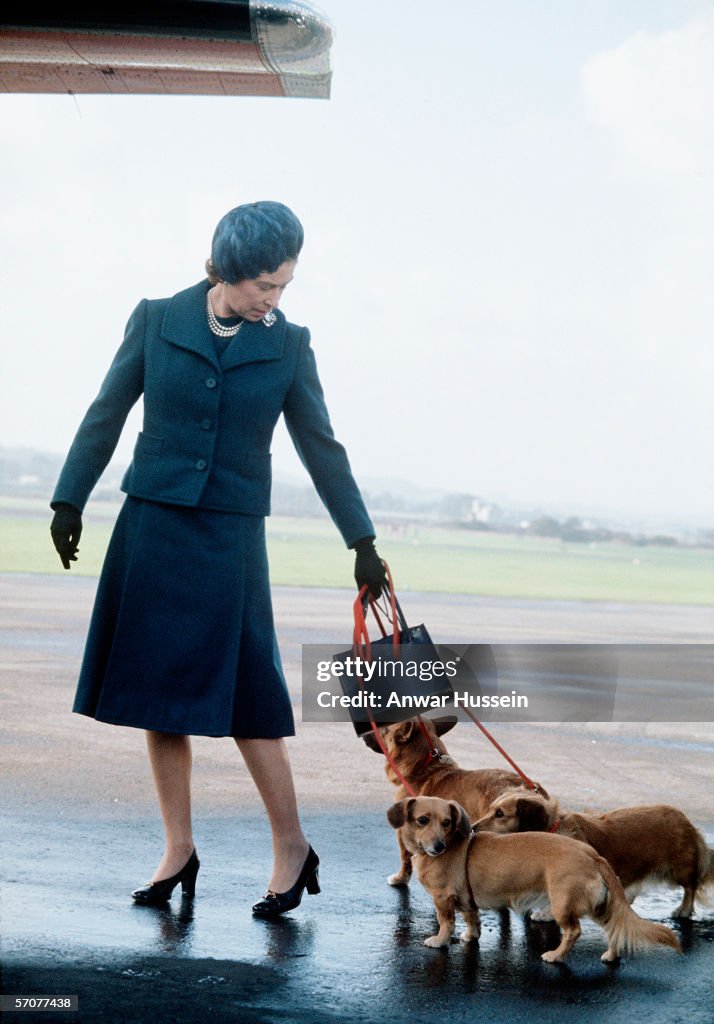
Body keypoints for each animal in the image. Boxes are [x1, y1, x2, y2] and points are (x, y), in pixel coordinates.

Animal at [385, 794, 680, 962]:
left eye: (446, 822)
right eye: (423, 820)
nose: (438, 847)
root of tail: (592, 855)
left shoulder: (443, 899)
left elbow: (446, 923)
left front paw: (439, 941)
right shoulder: (467, 902)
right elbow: (472, 921)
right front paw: (470, 937)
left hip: (563, 904)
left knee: (573, 931)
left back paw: (556, 956)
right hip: (599, 906)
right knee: (614, 930)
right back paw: (610, 955)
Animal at [473, 786, 712, 917]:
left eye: (500, 814)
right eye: (491, 809)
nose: (473, 828)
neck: (552, 830)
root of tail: (685, 820)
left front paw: (546, 914)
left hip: (678, 869)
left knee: (691, 887)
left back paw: (683, 910)